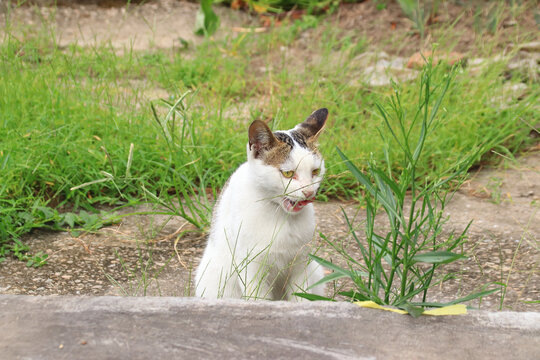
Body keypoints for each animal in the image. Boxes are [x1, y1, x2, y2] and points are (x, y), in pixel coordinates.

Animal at [194, 108, 330, 300]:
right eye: (288, 173)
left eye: (315, 171)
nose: (309, 192)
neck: (281, 217)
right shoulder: (251, 267)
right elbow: (259, 299)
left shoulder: (301, 264)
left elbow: (300, 297)